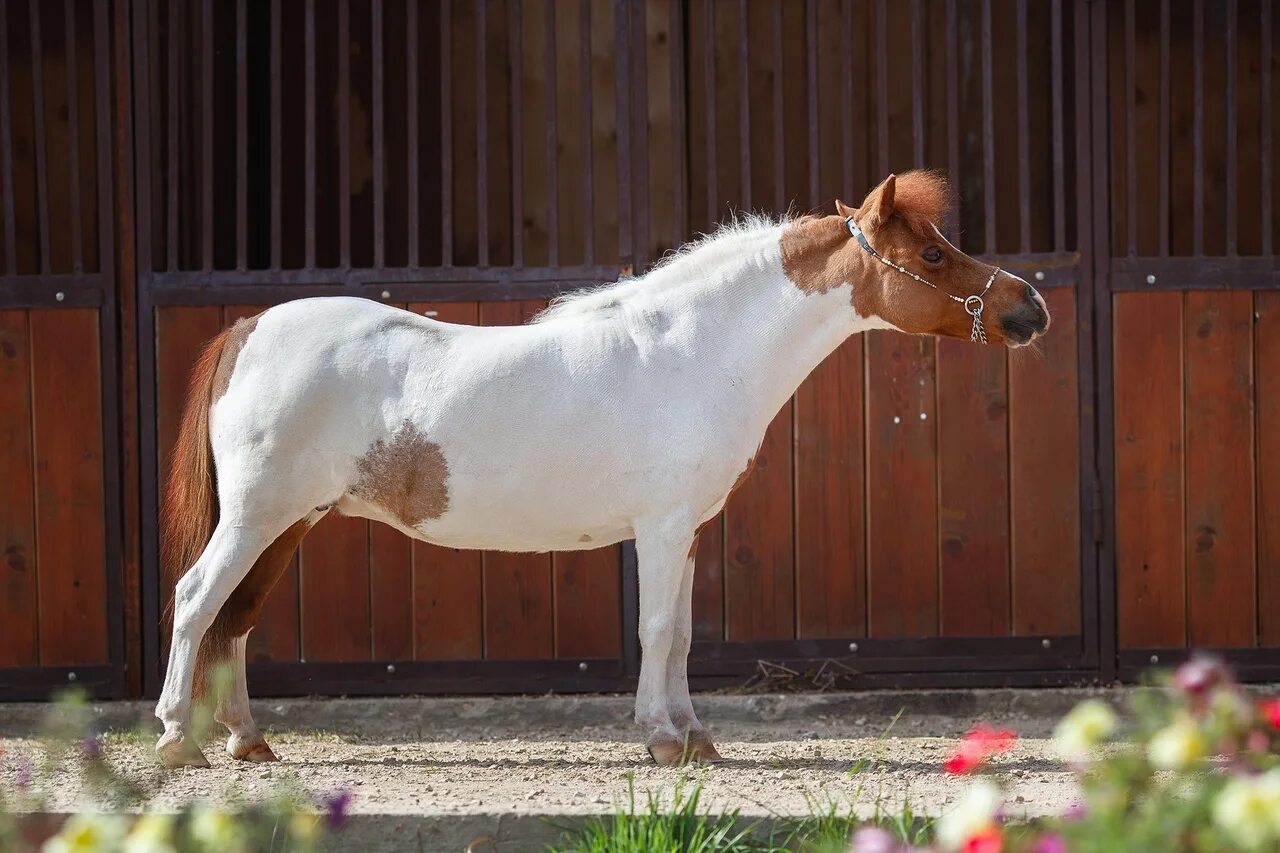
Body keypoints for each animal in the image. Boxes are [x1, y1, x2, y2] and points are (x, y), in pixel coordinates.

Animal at [152, 171, 1049, 763]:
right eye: (932, 256)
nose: (1030, 306)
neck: (693, 349)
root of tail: (250, 328)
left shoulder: (688, 531)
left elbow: (680, 633)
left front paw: (695, 736)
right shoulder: (660, 528)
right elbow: (653, 628)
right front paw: (659, 740)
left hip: (288, 521)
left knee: (236, 617)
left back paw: (249, 740)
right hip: (257, 516)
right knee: (197, 599)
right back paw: (173, 737)